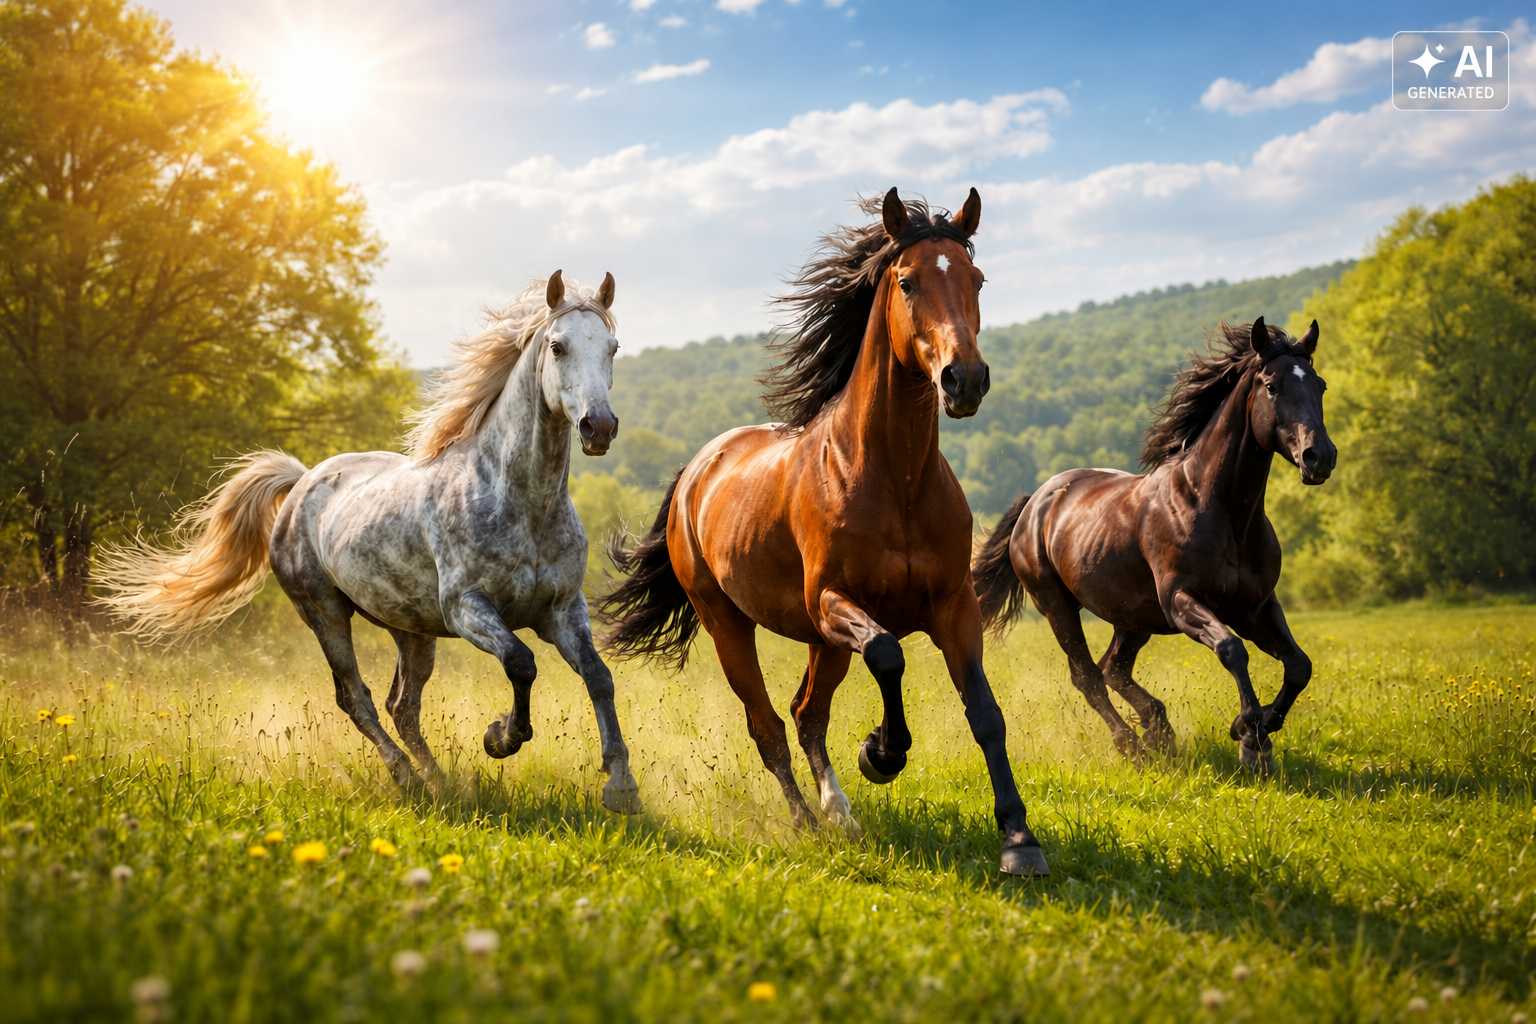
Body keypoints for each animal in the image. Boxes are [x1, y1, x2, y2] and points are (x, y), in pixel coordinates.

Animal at [96, 271, 642, 813]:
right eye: (557, 346)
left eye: (612, 347)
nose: (599, 426)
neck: (519, 501)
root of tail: (301, 483)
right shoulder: (468, 609)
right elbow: (520, 663)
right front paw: (500, 737)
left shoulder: (562, 611)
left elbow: (599, 676)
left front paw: (621, 788)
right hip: (325, 613)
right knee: (355, 698)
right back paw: (408, 778)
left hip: (411, 629)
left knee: (402, 705)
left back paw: (441, 782)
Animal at [601, 189, 1048, 876]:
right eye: (908, 281)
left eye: (977, 279)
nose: (965, 379)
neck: (896, 480)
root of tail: (697, 471)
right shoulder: (835, 602)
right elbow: (888, 654)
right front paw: (882, 752)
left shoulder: (955, 607)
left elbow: (985, 713)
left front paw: (1020, 841)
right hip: (731, 625)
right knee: (768, 725)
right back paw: (809, 821)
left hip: (823, 643)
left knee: (806, 713)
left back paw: (840, 813)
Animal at [973, 318, 1336, 772]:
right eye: (1271, 386)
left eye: (1320, 384)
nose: (1319, 457)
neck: (1221, 511)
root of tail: (1035, 503)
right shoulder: (1182, 602)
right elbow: (1232, 650)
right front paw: (1249, 737)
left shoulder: (1256, 607)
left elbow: (1299, 665)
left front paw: (1257, 731)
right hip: (1057, 606)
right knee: (1088, 676)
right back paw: (1132, 743)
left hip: (1132, 617)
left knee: (1114, 669)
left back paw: (1159, 729)